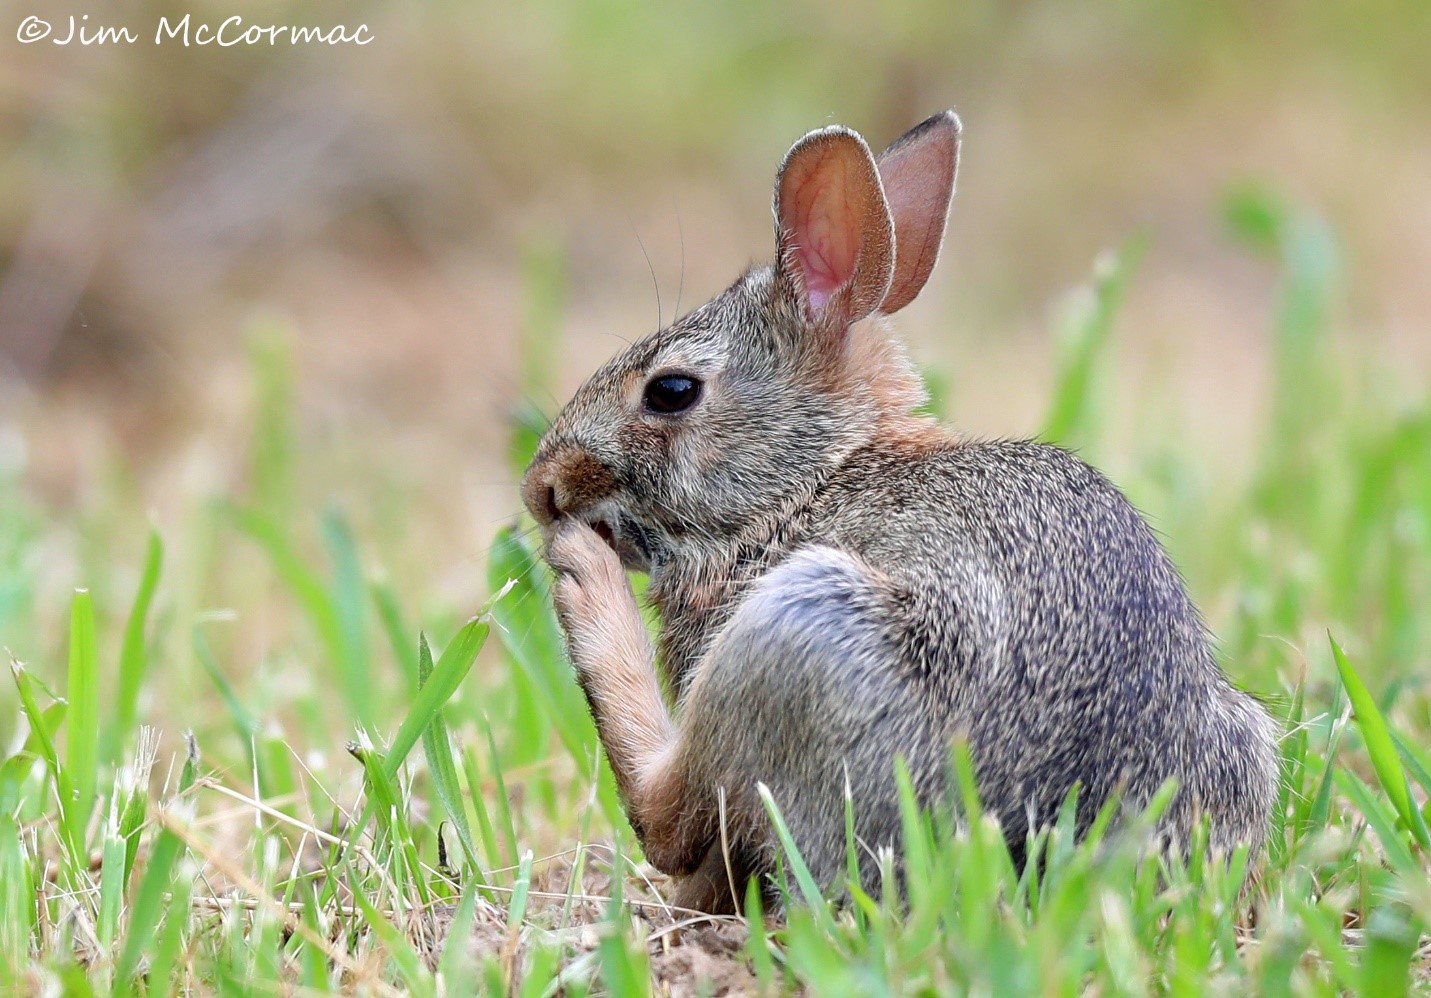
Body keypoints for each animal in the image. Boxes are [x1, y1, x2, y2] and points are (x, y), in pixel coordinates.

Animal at [520, 111, 1280, 914]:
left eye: (670, 391)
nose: (540, 489)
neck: (810, 481)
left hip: (803, 628)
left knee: (665, 815)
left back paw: (585, 583)